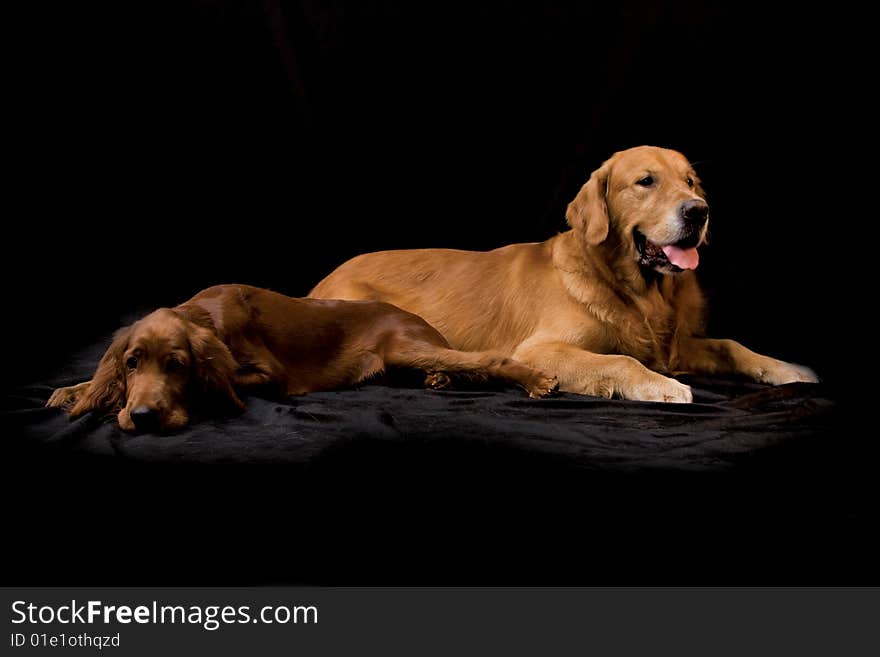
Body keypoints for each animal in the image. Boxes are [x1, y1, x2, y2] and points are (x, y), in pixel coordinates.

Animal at [46, 284, 556, 430]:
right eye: (132, 362)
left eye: (177, 365)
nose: (144, 416)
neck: (204, 315)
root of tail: (419, 319)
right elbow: (95, 379)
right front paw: (75, 392)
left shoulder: (270, 375)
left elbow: (224, 382)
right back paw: (438, 382)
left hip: (404, 345)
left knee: (486, 360)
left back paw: (537, 381)